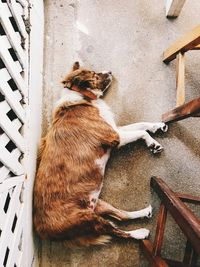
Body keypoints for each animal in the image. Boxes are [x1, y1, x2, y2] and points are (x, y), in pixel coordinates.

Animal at [33, 61, 168, 248]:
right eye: (95, 74)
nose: (110, 71)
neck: (82, 99)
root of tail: (43, 231)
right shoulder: (115, 137)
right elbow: (141, 132)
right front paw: (153, 143)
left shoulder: (115, 129)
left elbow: (141, 124)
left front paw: (156, 126)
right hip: (88, 219)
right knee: (116, 231)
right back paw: (139, 233)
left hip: (97, 204)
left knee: (120, 215)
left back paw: (144, 212)